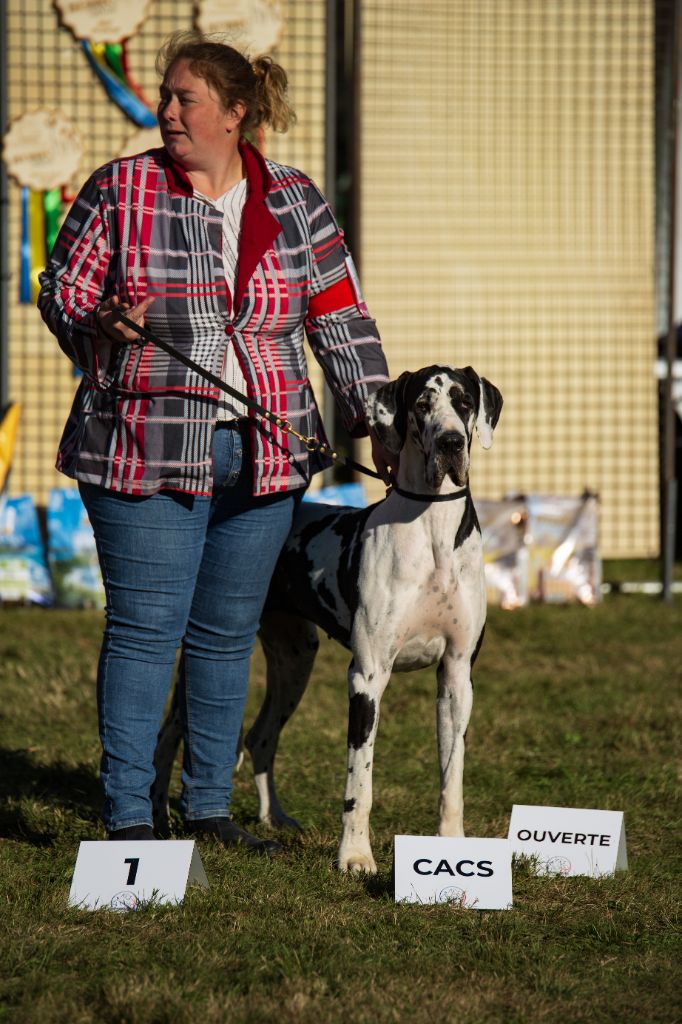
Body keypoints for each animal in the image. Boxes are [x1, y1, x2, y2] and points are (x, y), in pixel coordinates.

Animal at [152, 366, 499, 872]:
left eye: (465, 402)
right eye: (421, 404)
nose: (452, 441)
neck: (432, 528)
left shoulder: (456, 676)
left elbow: (451, 778)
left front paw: (453, 851)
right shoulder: (367, 678)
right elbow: (360, 783)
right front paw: (354, 856)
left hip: (296, 658)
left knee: (260, 737)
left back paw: (274, 819)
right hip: (198, 665)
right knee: (167, 735)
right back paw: (156, 817)